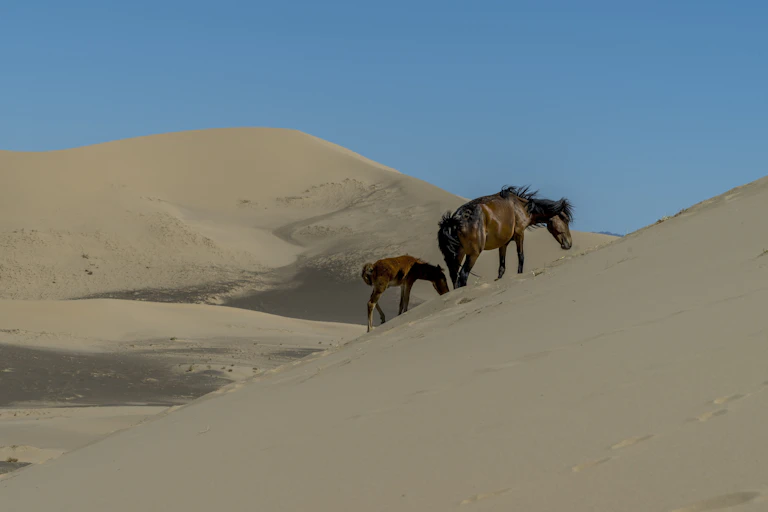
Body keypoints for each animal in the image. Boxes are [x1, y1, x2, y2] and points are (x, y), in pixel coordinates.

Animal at [437, 185, 574, 288]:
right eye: (565, 219)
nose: (569, 244)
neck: (521, 207)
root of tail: (453, 220)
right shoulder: (519, 234)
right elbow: (521, 257)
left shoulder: (503, 244)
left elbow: (501, 267)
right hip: (473, 253)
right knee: (463, 276)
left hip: (458, 253)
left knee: (454, 277)